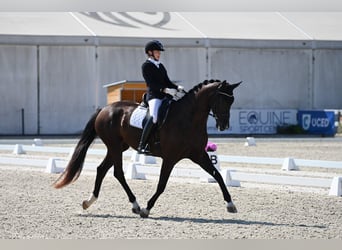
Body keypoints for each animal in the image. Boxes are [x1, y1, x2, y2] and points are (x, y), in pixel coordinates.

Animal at [54, 79, 240, 218]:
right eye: (223, 100)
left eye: (232, 101)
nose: (224, 126)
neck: (188, 119)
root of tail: (104, 109)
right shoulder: (170, 158)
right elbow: (162, 184)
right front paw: (147, 208)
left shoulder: (199, 154)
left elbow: (218, 175)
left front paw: (230, 204)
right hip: (114, 146)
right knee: (118, 173)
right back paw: (136, 205)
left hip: (119, 147)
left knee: (102, 169)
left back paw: (89, 202)